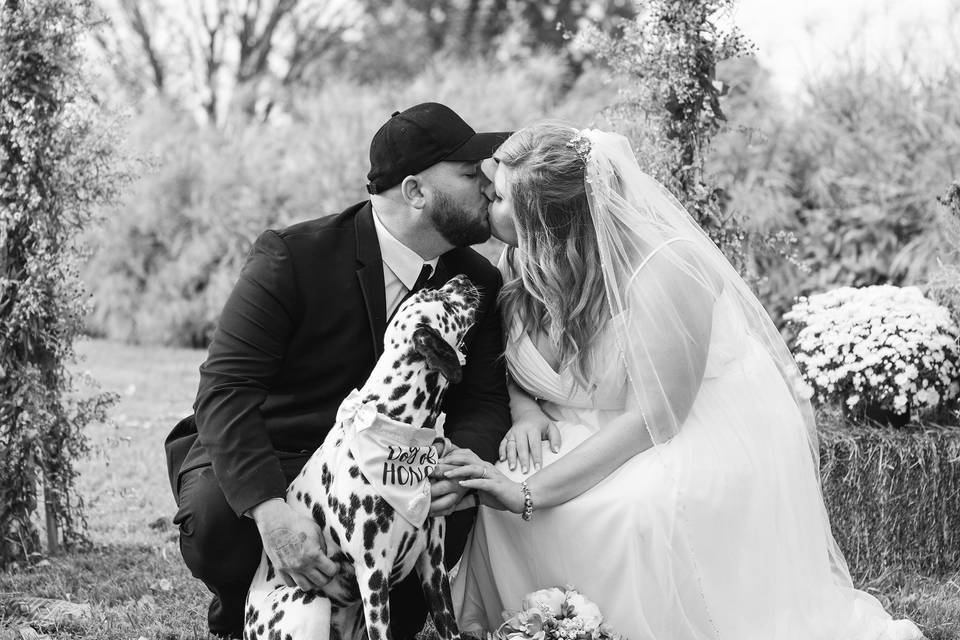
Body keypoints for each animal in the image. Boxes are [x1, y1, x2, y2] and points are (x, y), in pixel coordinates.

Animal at [244, 276, 476, 640]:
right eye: (439, 297)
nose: (463, 279)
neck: (397, 426)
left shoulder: (434, 569)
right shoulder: (373, 576)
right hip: (310, 600)